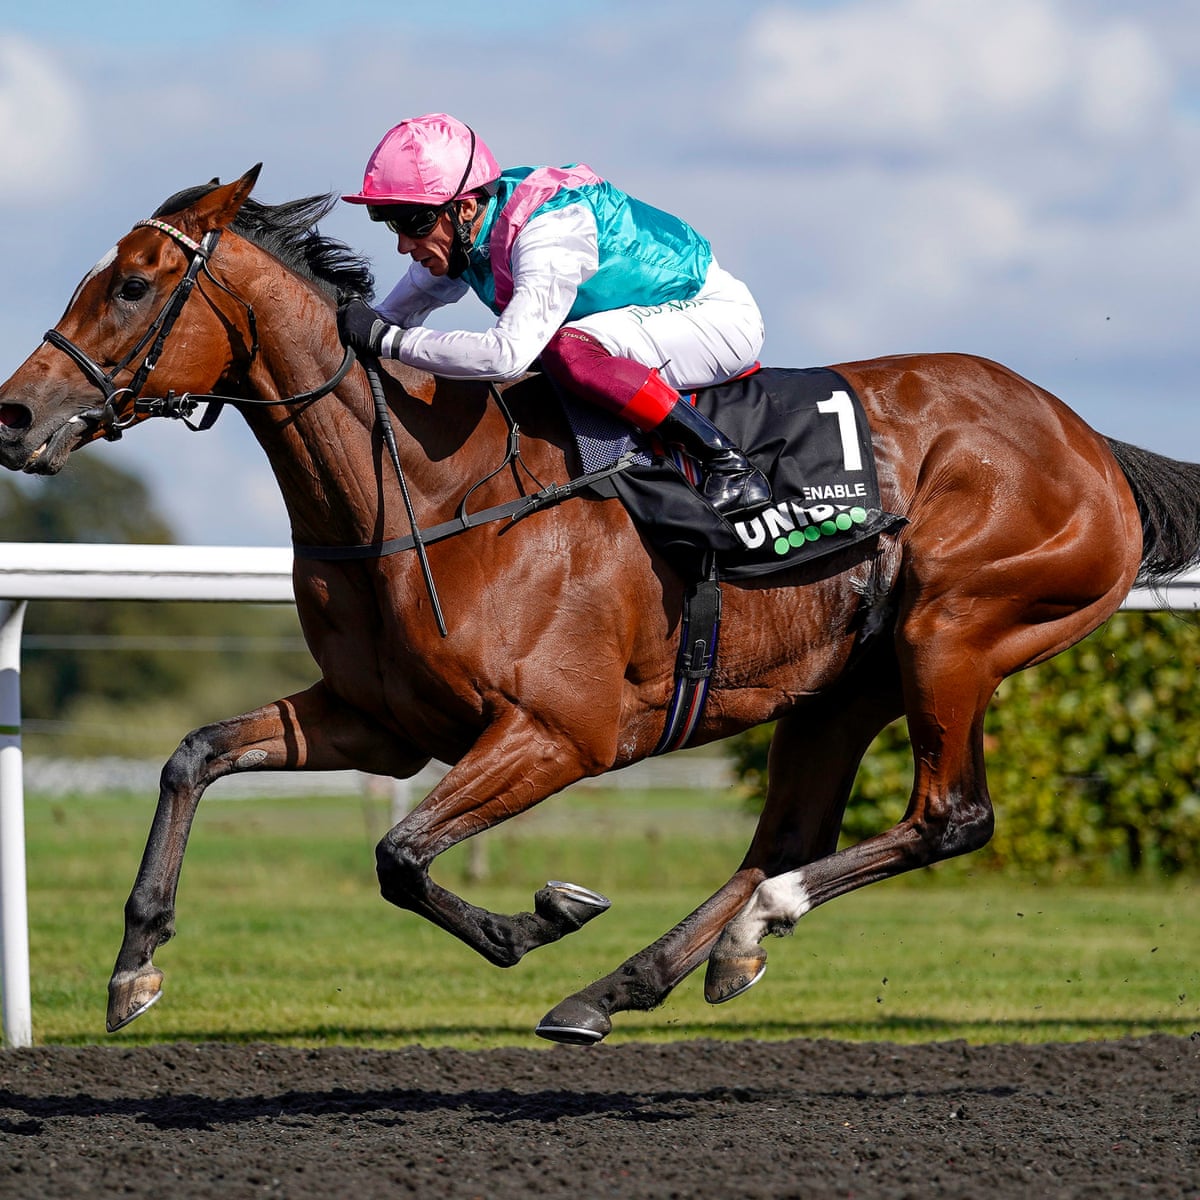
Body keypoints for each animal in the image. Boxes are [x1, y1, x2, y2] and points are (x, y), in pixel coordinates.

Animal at [2, 166, 1198, 1044]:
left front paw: (537, 919)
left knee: (947, 817)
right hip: (838, 685)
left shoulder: (557, 732)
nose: (15, 415)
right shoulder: (382, 722)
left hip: (951, 631)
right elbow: (194, 756)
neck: (429, 490)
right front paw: (134, 967)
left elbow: (400, 857)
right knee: (786, 835)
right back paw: (647, 977)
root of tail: (1089, 441)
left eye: (133, 286)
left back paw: (747, 929)